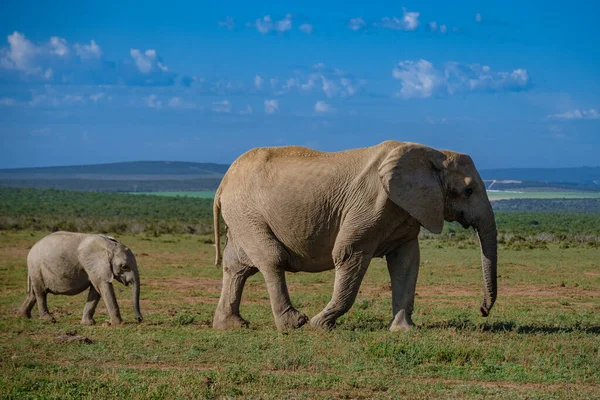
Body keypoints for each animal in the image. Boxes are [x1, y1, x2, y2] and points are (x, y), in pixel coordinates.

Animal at [212, 141, 496, 332]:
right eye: (468, 191)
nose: (482, 311)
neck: (433, 153)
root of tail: (222, 184)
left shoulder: (405, 210)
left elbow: (406, 262)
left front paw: (404, 330)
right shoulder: (370, 204)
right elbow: (348, 253)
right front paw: (320, 325)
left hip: (241, 215)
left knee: (236, 266)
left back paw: (231, 326)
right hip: (246, 212)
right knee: (272, 259)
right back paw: (295, 323)